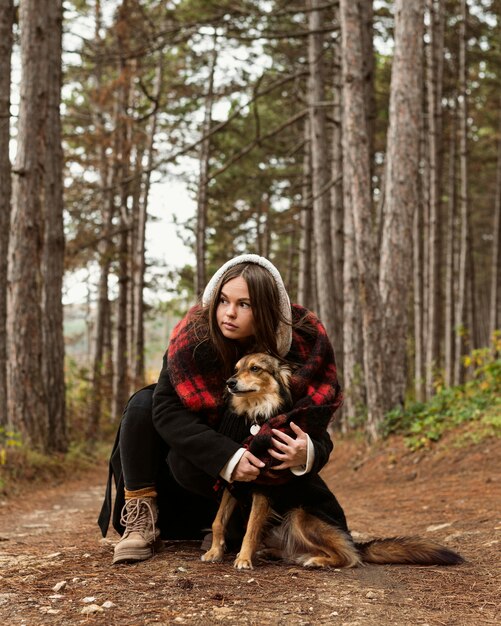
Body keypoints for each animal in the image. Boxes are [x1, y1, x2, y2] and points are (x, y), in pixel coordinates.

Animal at [198, 354, 460, 568]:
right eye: (236, 368)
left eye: (255, 368)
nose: (229, 383)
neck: (256, 418)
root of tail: (352, 539)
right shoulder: (234, 479)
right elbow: (218, 520)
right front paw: (214, 552)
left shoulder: (263, 488)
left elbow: (251, 529)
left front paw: (243, 559)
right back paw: (274, 553)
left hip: (301, 515)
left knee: (349, 557)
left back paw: (316, 560)